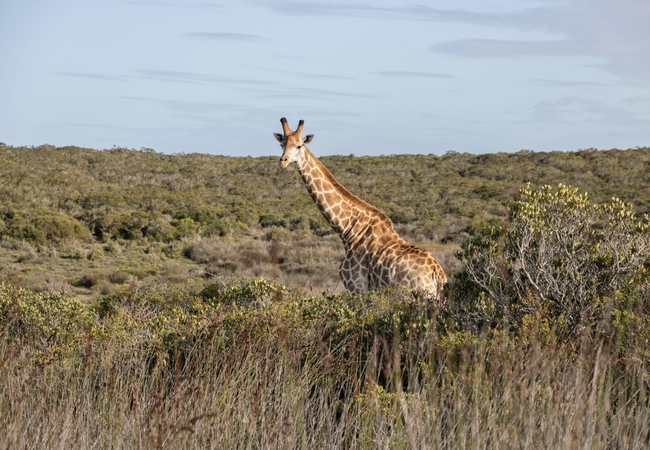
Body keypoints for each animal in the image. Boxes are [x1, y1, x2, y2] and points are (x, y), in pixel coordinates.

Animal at [274, 118, 446, 298]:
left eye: (299, 146)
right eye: (282, 144)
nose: (283, 161)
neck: (348, 230)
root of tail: (437, 274)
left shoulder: (356, 286)